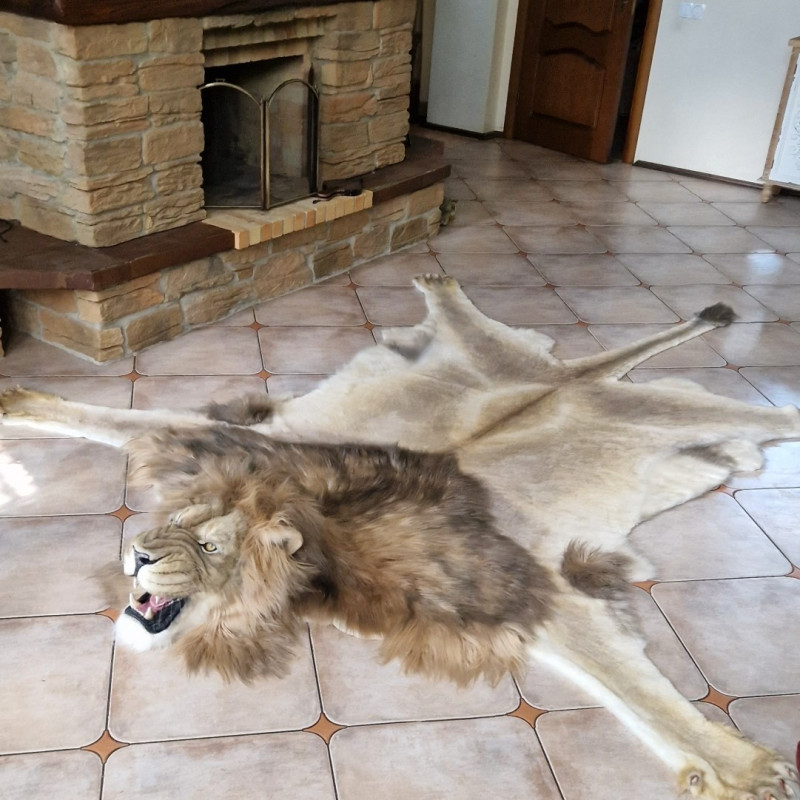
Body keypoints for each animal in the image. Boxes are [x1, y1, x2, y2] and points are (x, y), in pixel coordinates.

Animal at [1, 274, 798, 800]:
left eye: (209, 548)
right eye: (177, 525)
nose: (136, 553)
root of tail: (569, 375)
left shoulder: (528, 584)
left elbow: (639, 693)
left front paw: (748, 768)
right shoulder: (244, 441)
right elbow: (115, 420)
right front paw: (16, 399)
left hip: (662, 410)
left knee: (768, 416)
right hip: (508, 358)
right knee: (472, 319)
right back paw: (438, 282)